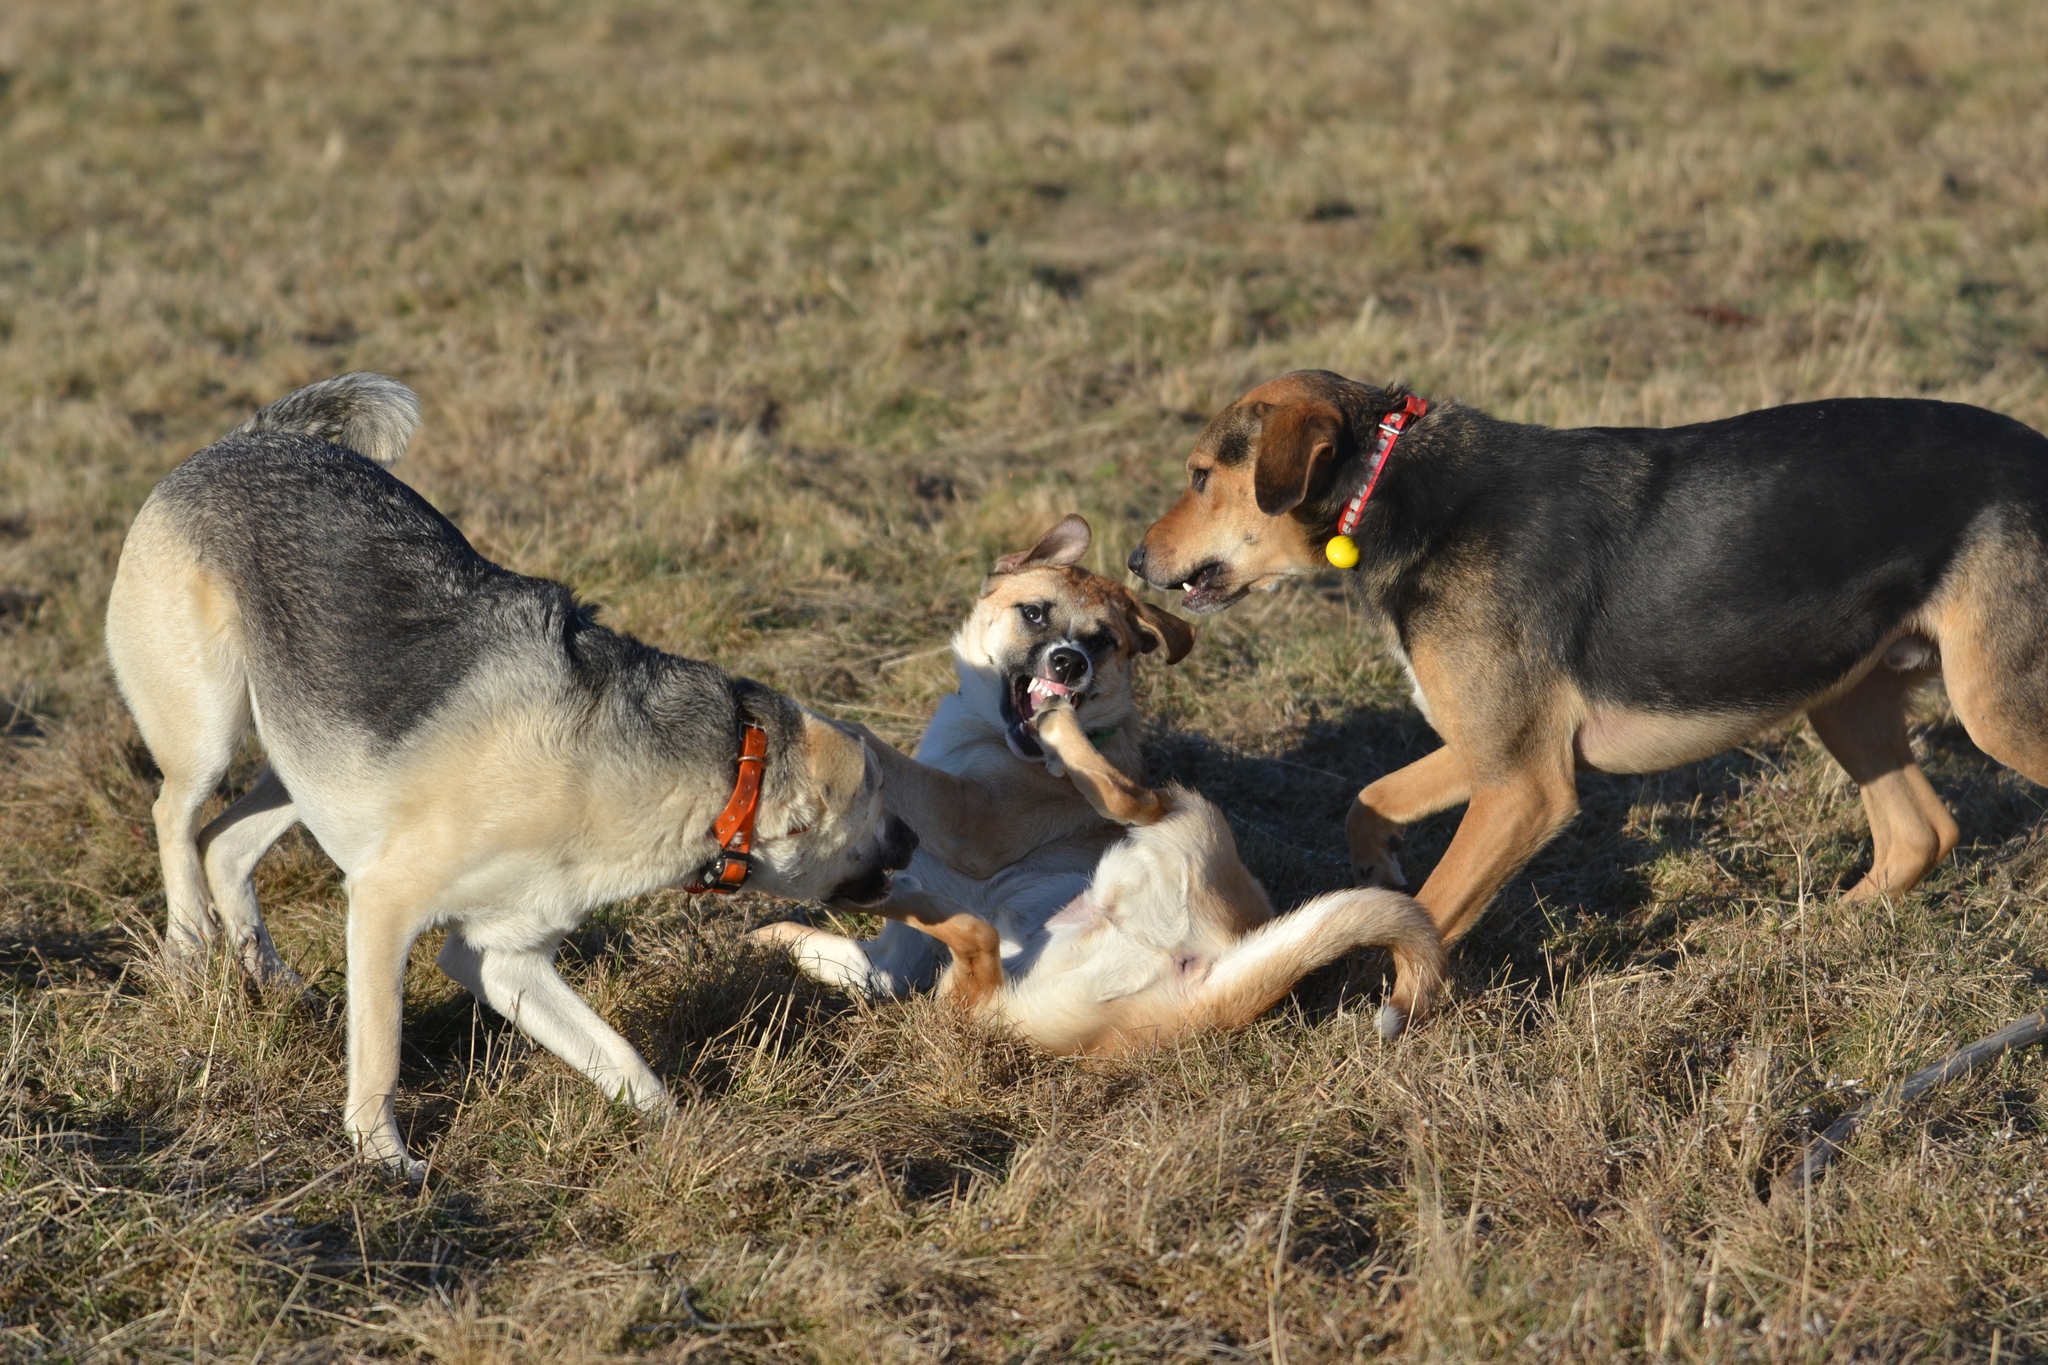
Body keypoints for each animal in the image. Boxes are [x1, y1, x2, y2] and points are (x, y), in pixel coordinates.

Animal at [101, 374, 921, 1178]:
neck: (719, 774)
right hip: (212, 729)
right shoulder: (383, 904)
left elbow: (618, 1055)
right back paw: (186, 950)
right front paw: (381, 1153)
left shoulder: (502, 956)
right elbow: (381, 1052)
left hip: (303, 760)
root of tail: (244, 441)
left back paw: (275, 984)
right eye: (879, 797)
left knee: (224, 843)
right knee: (175, 815)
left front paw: (684, 1135)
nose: (914, 839)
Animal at [749, 517, 1441, 1055]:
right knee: (974, 944)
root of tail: (1207, 995)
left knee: (1131, 803)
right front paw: (768, 936)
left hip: (1184, 810)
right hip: (977, 996)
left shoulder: (972, 820)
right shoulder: (892, 970)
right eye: (1033, 613)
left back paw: (1060, 737)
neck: (990, 736)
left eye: (1103, 641)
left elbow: (872, 742)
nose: (1068, 663)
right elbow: (836, 956)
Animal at [1130, 370, 2048, 949]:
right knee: (1920, 834)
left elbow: (1432, 910)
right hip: (1846, 697)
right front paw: (1375, 868)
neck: (1394, 487)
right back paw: (1810, 932)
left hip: (1995, 709)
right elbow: (1371, 799)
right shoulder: (1502, 753)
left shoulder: (1525, 787)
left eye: (1201, 476)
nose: (1135, 561)